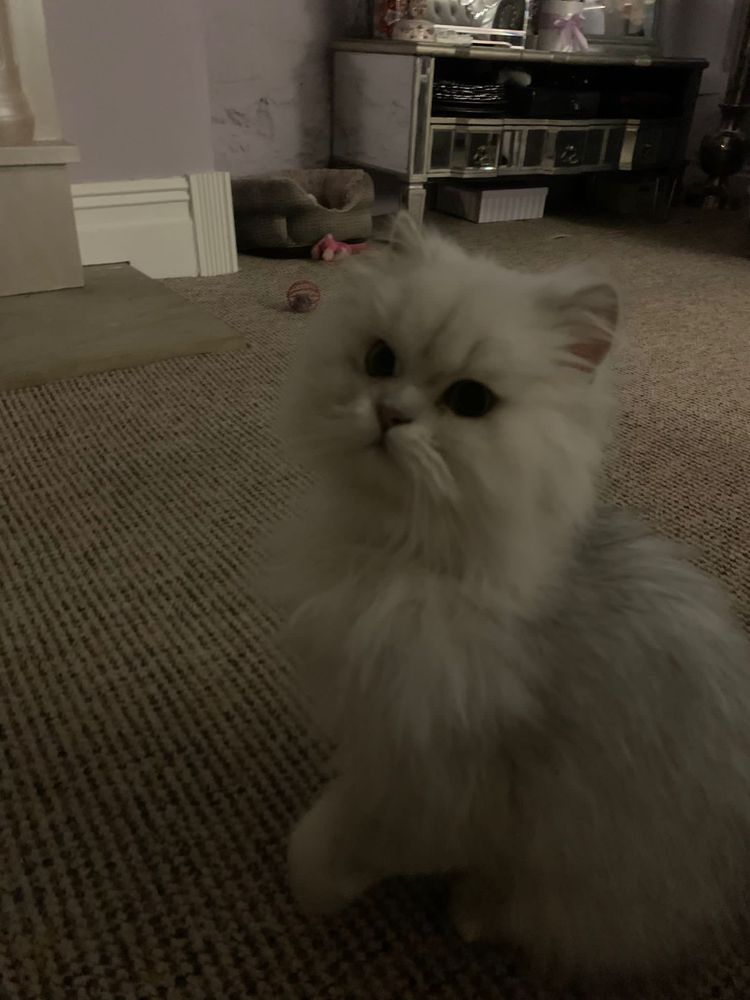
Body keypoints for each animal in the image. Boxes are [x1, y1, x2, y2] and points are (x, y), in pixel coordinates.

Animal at [276, 213, 750, 976]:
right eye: (380, 360)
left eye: (470, 401)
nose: (388, 413)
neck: (414, 558)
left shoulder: (437, 780)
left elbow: (341, 839)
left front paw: (307, 887)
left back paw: (473, 914)